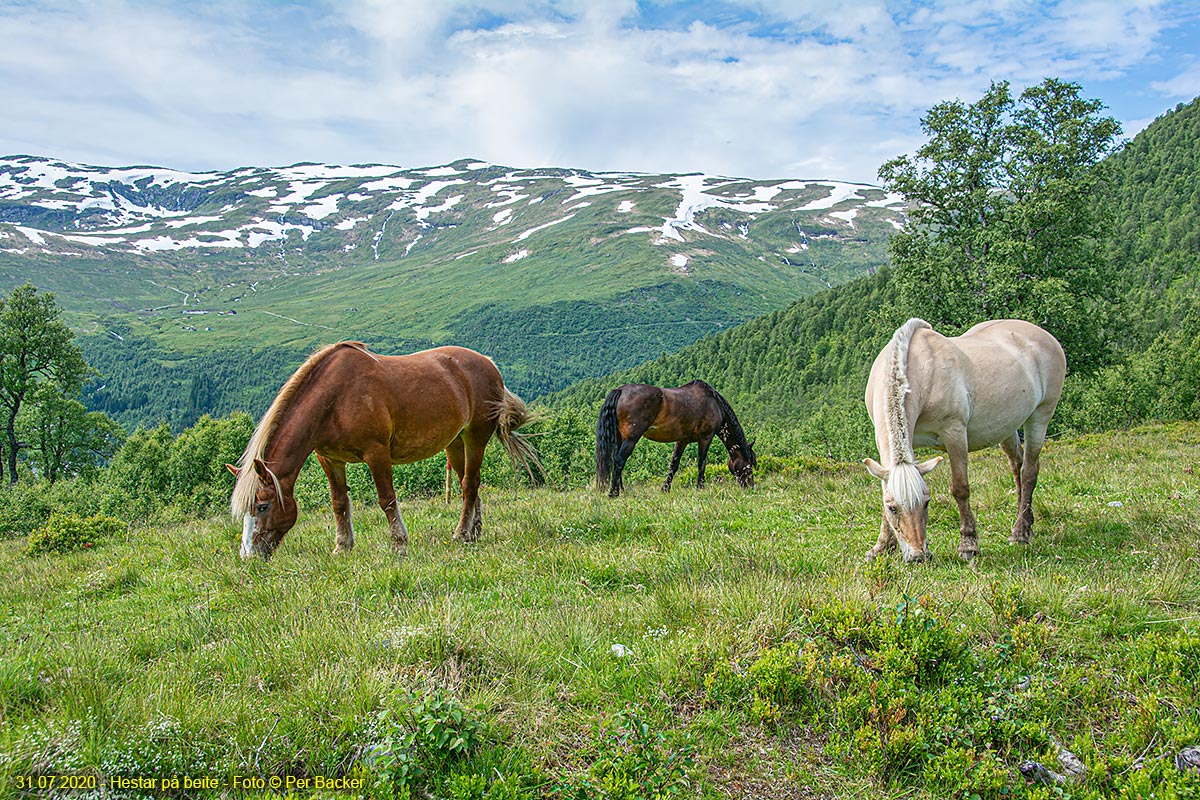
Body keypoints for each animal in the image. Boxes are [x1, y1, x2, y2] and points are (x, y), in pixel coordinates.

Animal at [229, 340, 540, 561]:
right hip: (455, 442)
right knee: (469, 485)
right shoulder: (329, 459)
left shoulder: (376, 453)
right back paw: (474, 532)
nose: (248, 557)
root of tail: (488, 363)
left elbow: (386, 499)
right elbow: (339, 502)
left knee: (470, 483)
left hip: (476, 437)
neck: (335, 398)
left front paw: (399, 545)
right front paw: (342, 547)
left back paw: (461, 534)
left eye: (262, 506)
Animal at [595, 381, 753, 496]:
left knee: (617, 460)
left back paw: (621, 490)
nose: (751, 486)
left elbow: (674, 465)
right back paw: (613, 493)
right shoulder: (705, 438)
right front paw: (700, 487)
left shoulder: (682, 440)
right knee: (619, 460)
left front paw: (665, 489)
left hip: (620, 438)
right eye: (749, 464)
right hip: (631, 439)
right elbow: (702, 463)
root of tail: (620, 390)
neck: (714, 403)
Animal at [864, 319, 1070, 563]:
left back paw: (1020, 533)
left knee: (1029, 471)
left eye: (927, 502)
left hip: (1041, 415)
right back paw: (1026, 525)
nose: (918, 556)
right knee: (1016, 466)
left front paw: (968, 545)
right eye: (893, 508)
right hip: (1007, 427)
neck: (919, 372)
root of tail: (1045, 336)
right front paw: (882, 547)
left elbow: (960, 489)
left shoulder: (954, 434)